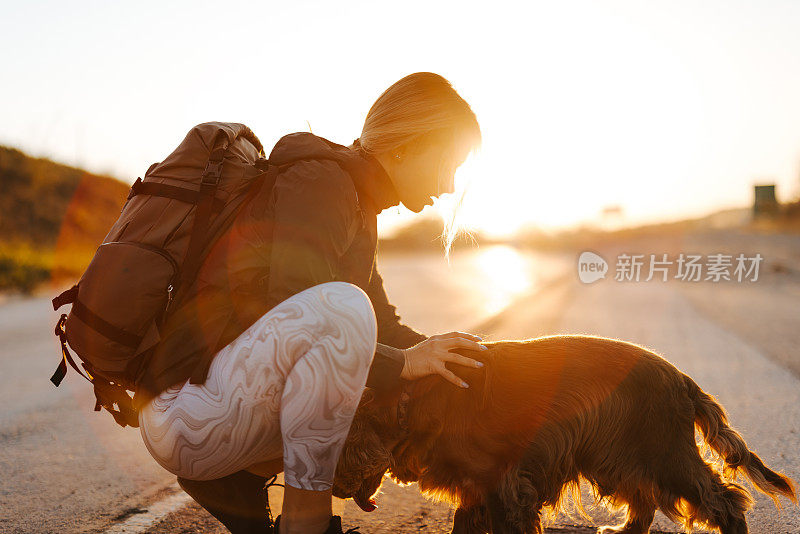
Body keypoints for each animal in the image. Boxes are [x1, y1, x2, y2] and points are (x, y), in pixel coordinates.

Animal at [330, 338, 792, 532]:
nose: (333, 490)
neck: (414, 398)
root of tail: (682, 379)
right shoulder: (476, 487)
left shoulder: (501, 482)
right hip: (617, 456)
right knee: (644, 500)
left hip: (664, 456)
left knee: (725, 502)